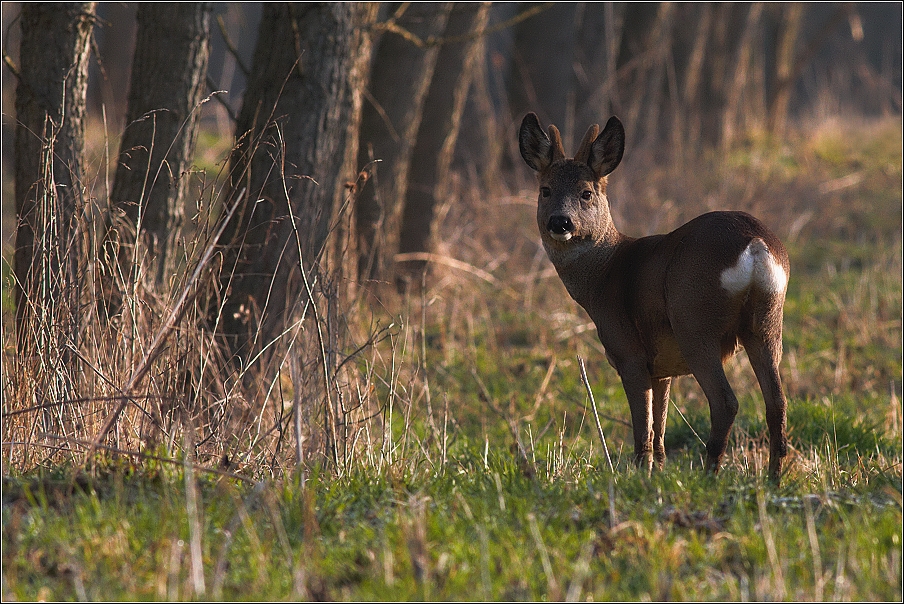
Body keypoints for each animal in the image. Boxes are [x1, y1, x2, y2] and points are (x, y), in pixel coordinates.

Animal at [520, 112, 788, 482]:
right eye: (545, 190)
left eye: (586, 193)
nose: (560, 222)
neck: (604, 273)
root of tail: (756, 244)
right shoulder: (662, 367)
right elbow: (659, 429)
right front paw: (657, 474)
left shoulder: (629, 353)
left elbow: (642, 429)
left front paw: (639, 475)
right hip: (767, 321)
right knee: (777, 402)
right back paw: (774, 479)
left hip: (695, 322)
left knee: (725, 401)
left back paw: (710, 476)